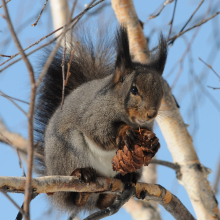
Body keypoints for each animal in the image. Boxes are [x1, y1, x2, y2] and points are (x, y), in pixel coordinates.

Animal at [34, 24, 168, 217]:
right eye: (134, 90)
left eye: (162, 92)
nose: (151, 114)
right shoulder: (94, 114)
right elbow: (100, 132)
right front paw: (124, 132)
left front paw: (153, 141)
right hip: (68, 150)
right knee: (75, 197)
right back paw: (82, 176)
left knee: (100, 203)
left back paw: (123, 180)